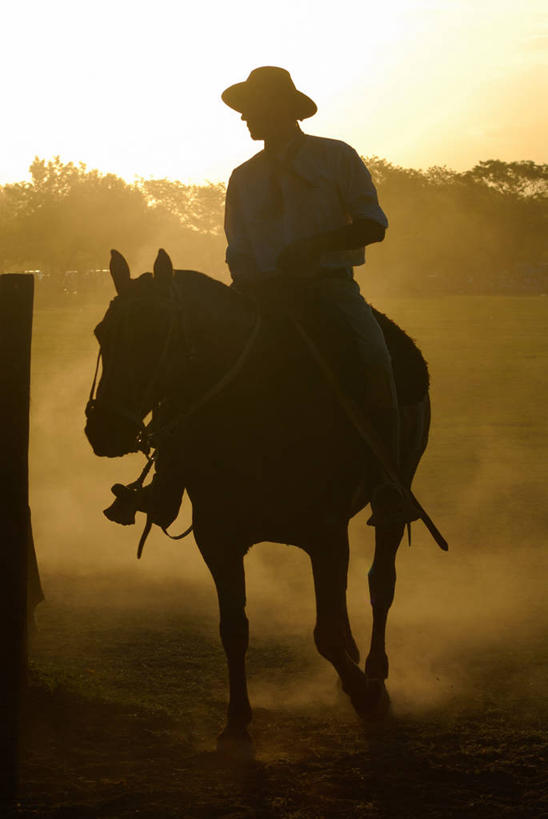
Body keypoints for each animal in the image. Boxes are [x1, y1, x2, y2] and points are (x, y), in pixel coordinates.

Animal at [85, 250, 432, 756]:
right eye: (101, 333)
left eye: (153, 331)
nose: (104, 430)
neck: (257, 410)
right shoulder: (218, 538)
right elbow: (235, 628)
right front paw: (236, 722)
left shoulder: (325, 535)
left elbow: (326, 632)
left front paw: (368, 697)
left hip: (396, 488)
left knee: (380, 580)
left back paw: (374, 668)